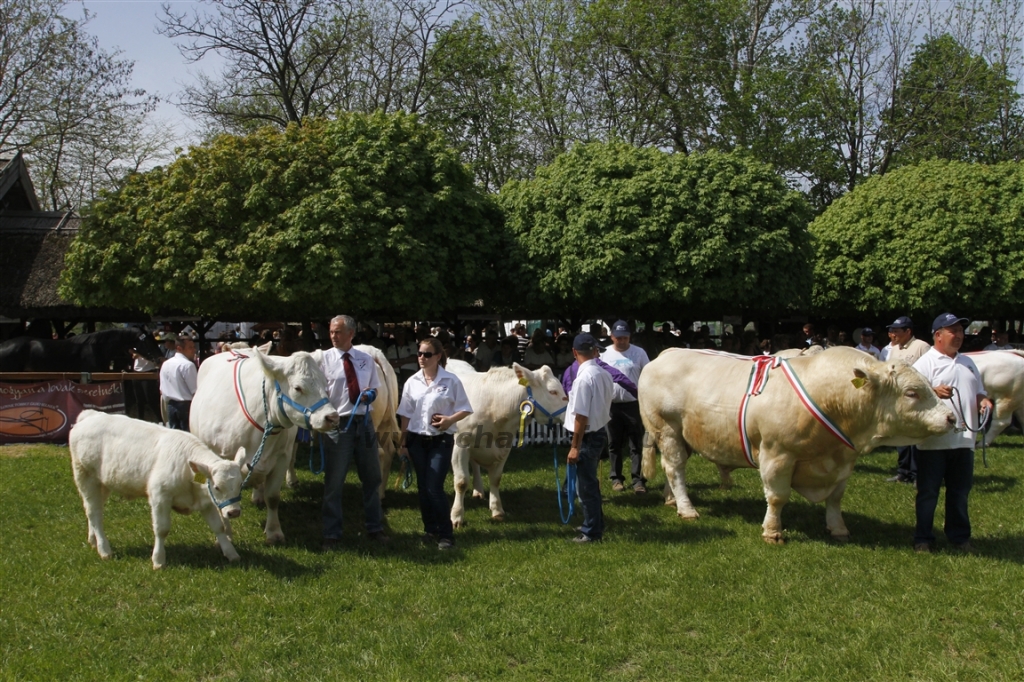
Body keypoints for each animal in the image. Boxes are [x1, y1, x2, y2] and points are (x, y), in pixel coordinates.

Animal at [69, 409, 247, 569]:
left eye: (240, 484)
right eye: (217, 487)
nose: (233, 512)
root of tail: (90, 415)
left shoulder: (206, 500)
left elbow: (218, 527)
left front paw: (231, 553)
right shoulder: (160, 497)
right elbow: (162, 529)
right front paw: (158, 560)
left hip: (102, 484)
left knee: (93, 510)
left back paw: (93, 540)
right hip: (85, 476)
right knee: (94, 512)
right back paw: (104, 549)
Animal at [188, 346, 339, 540]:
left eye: (324, 383)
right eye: (298, 388)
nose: (332, 417)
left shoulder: (282, 456)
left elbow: (273, 496)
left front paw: (274, 532)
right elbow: (220, 497)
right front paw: (226, 534)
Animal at [444, 360, 569, 524]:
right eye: (553, 392)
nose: (571, 413)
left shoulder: (504, 446)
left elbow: (496, 479)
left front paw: (497, 510)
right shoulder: (461, 444)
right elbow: (461, 481)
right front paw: (456, 516)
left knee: (475, 465)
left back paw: (478, 490)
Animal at [634, 346, 954, 540]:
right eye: (912, 393)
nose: (951, 417)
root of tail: (667, 353)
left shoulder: (844, 459)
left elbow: (835, 498)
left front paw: (838, 528)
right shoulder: (777, 454)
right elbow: (778, 497)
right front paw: (772, 532)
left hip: (682, 435)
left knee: (672, 468)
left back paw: (672, 499)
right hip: (667, 428)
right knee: (675, 468)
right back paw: (686, 508)